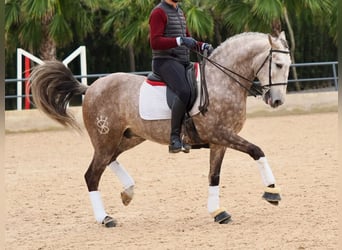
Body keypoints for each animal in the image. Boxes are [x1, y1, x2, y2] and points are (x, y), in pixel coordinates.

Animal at [30, 30, 292, 227]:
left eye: (289, 65)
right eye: (278, 64)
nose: (277, 101)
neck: (222, 81)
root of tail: (91, 88)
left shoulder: (220, 141)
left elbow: (214, 176)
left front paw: (218, 212)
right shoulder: (220, 134)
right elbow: (257, 151)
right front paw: (273, 192)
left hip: (129, 137)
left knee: (109, 159)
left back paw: (128, 192)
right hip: (106, 138)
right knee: (92, 174)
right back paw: (105, 218)